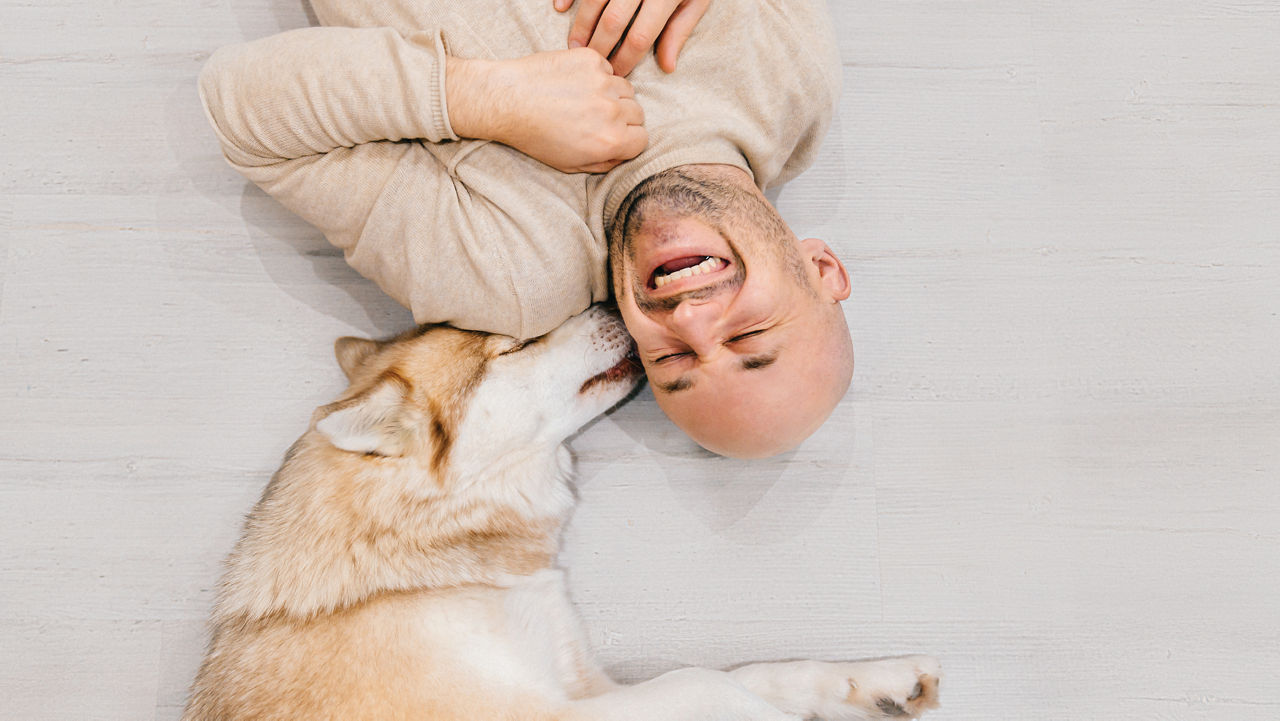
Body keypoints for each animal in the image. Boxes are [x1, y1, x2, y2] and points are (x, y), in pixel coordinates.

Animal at [183, 307, 942, 717]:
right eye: (511, 344)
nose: (609, 296)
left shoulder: (585, 681)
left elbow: (758, 673)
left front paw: (878, 681)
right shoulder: (549, 708)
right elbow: (701, 682)